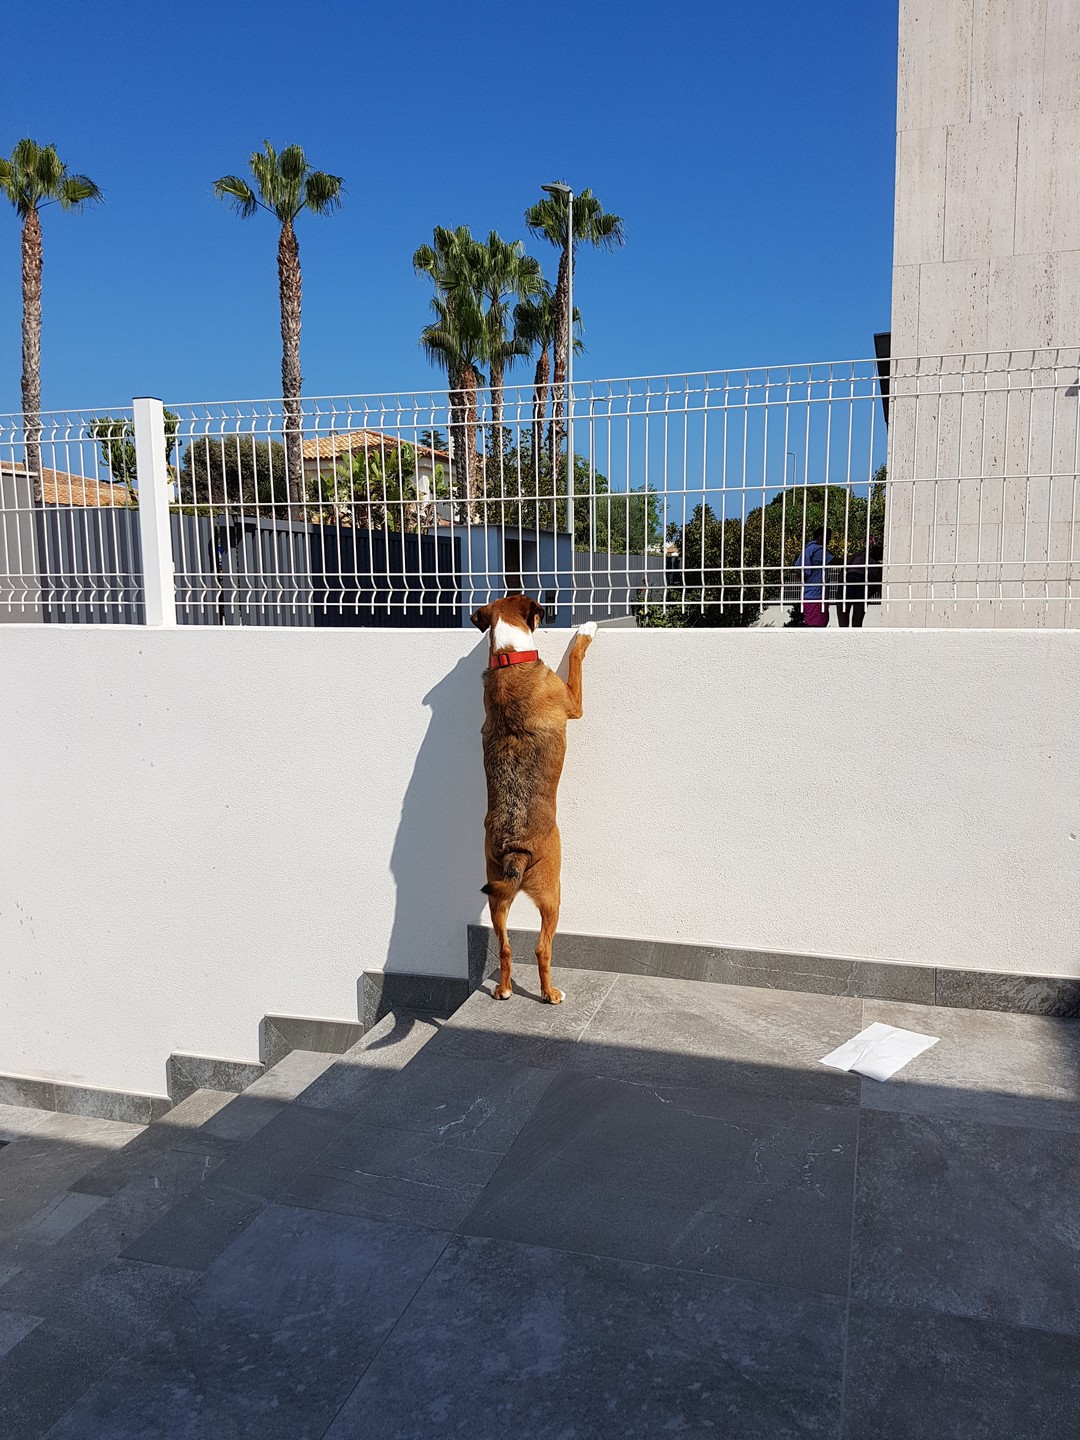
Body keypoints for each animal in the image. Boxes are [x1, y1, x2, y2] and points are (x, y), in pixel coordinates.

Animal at [470, 594, 596, 1003]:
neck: (508, 657)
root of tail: (516, 849)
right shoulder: (573, 700)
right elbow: (577, 658)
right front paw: (586, 631)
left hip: (497, 894)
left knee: (506, 947)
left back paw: (505, 990)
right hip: (553, 892)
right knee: (542, 947)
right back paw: (550, 993)